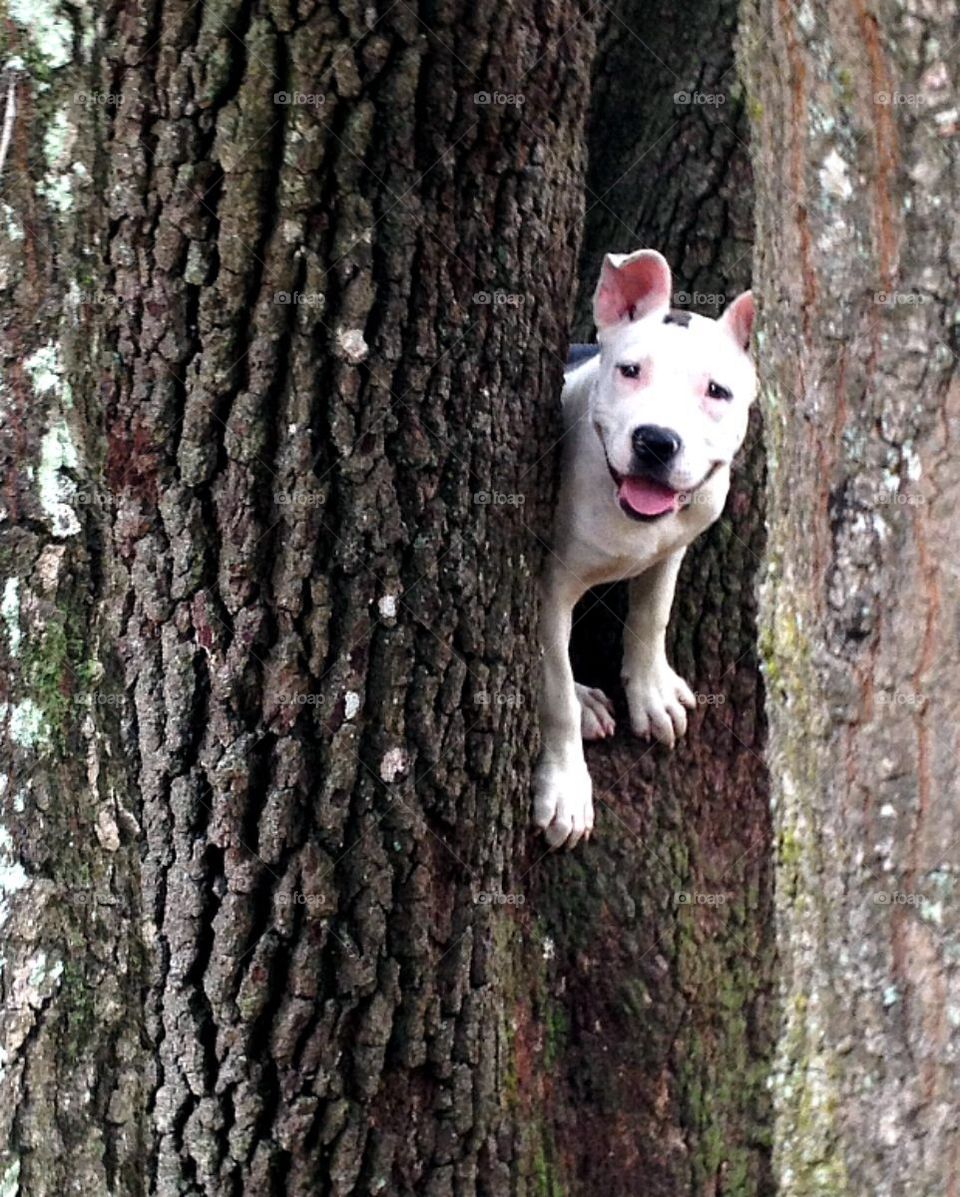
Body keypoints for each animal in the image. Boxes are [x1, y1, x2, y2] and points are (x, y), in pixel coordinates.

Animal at [531, 250, 746, 852]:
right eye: (630, 371)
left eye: (717, 391)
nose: (656, 441)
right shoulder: (549, 589)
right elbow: (553, 690)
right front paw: (565, 788)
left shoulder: (674, 544)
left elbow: (652, 616)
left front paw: (652, 695)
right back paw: (586, 702)